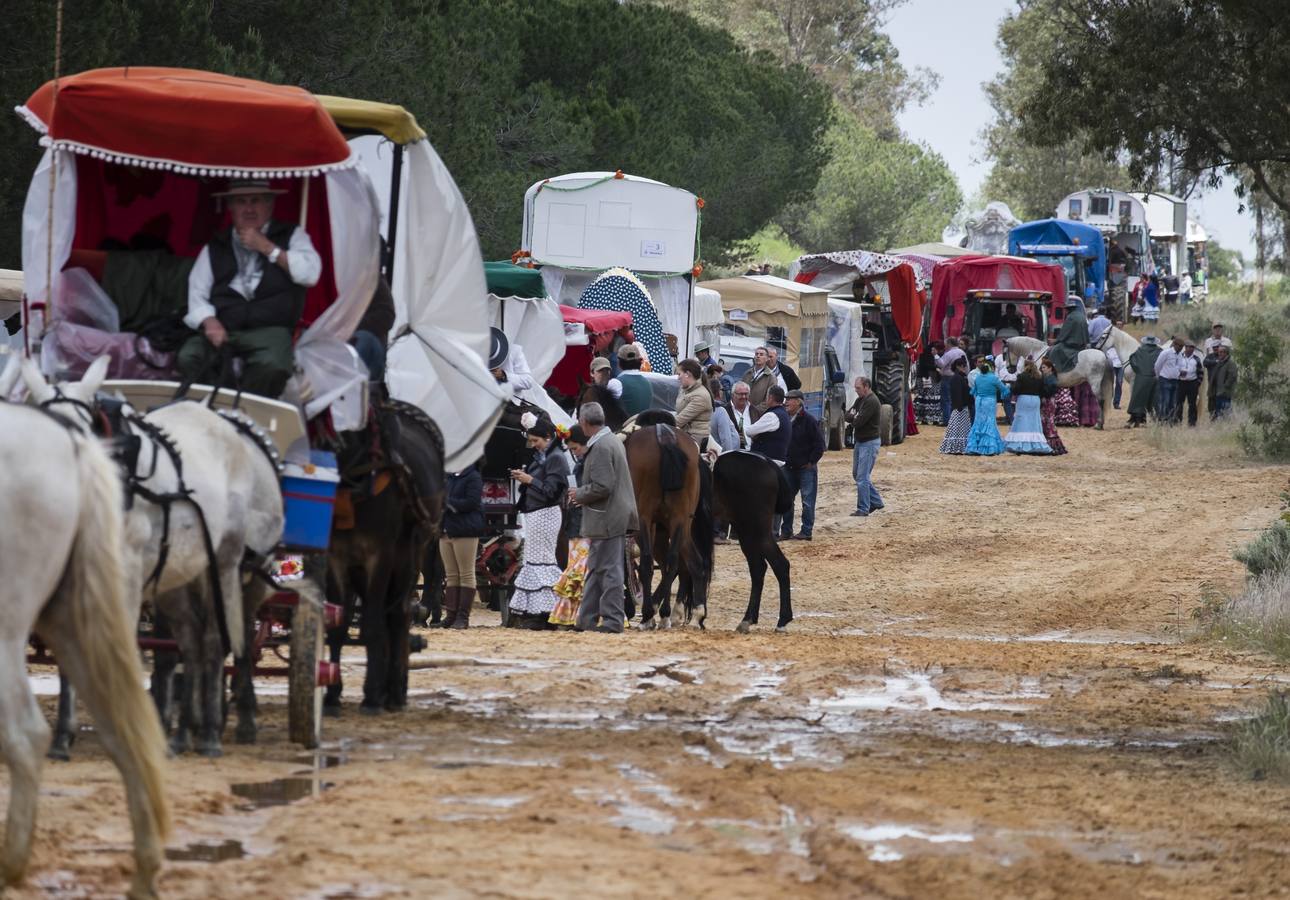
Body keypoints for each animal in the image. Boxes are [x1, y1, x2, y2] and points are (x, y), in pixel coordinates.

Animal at [0, 397, 171, 897]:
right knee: (124, 731)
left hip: (7, 628)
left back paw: (10, 865)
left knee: (25, 736)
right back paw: (145, 871)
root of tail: (70, 441)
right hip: (76, 622)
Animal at [22, 353, 285, 753]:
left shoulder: (127, 579)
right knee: (191, 642)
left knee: (219, 641)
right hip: (178, 578)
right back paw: (184, 731)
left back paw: (215, 730)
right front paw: (63, 736)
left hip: (228, 567)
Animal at [619, 412, 712, 626]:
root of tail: (666, 438)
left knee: (651, 564)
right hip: (680, 522)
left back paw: (650, 614)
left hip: (646, 522)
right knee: (686, 562)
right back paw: (692, 614)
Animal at [1006, 326, 1140, 428]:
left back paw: (1099, 424)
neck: (1038, 352)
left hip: (1095, 383)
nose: (1009, 369)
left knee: (1100, 400)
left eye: (1004, 353)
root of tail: (1103, 354)